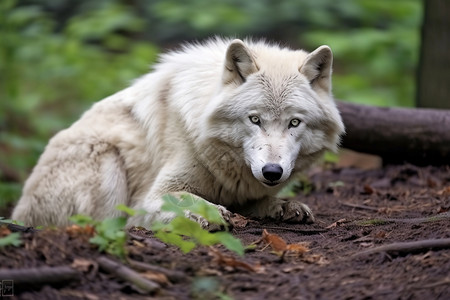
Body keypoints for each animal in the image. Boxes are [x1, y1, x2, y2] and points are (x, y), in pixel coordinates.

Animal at [13, 38, 344, 229]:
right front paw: (210, 214)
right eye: (255, 119)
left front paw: (283, 206)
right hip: (106, 160)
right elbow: (185, 200)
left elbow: (260, 201)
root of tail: (18, 211)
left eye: (294, 123)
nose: (272, 172)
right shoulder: (152, 196)